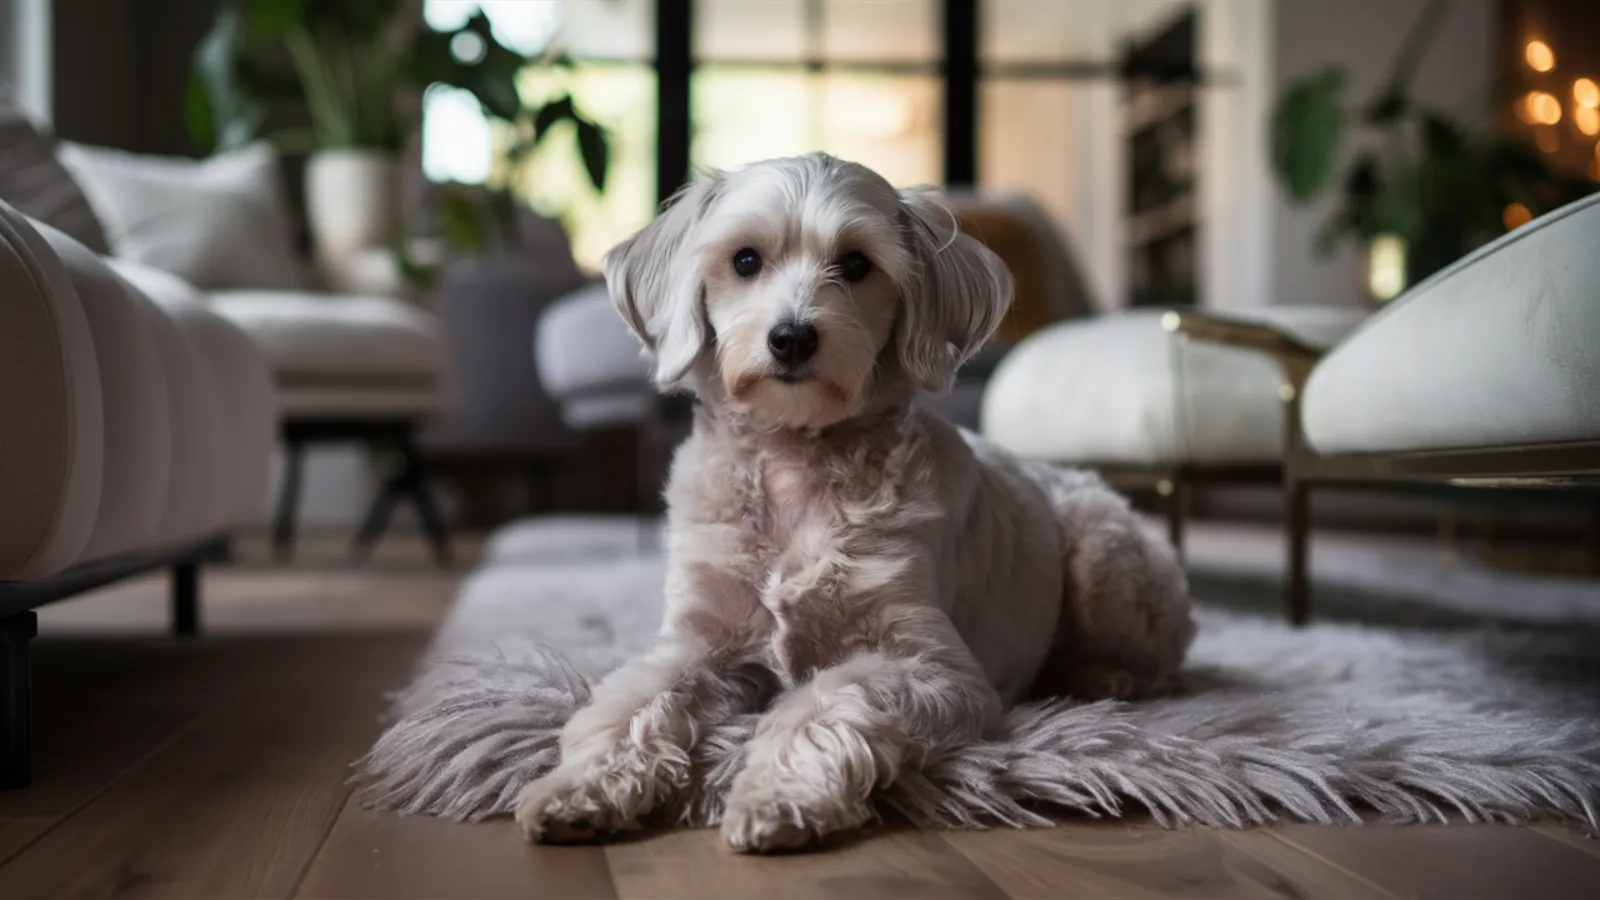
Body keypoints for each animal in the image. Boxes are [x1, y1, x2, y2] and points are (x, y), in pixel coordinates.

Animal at [518, 152, 1196, 845]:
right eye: (744, 260)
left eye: (856, 263)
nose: (792, 337)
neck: (796, 461)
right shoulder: (695, 640)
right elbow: (628, 699)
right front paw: (581, 785)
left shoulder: (936, 667)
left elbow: (831, 696)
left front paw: (777, 794)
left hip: (1103, 557)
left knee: (1159, 659)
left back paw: (1098, 676)